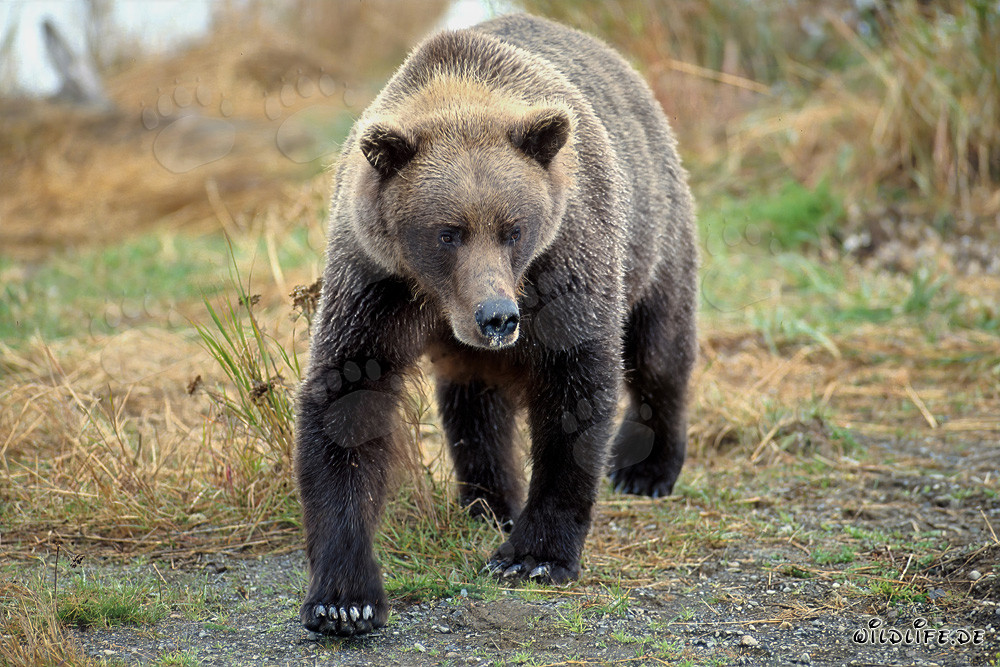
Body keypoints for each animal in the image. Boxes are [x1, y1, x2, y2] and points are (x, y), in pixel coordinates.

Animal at [295, 13, 698, 636]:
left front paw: (534, 557)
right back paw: (489, 502)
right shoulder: (374, 281)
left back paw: (646, 468)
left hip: (653, 230)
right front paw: (344, 600)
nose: (498, 317)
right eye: (447, 232)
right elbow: (348, 399)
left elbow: (575, 388)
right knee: (474, 400)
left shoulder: (564, 263)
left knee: (659, 347)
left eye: (513, 228)